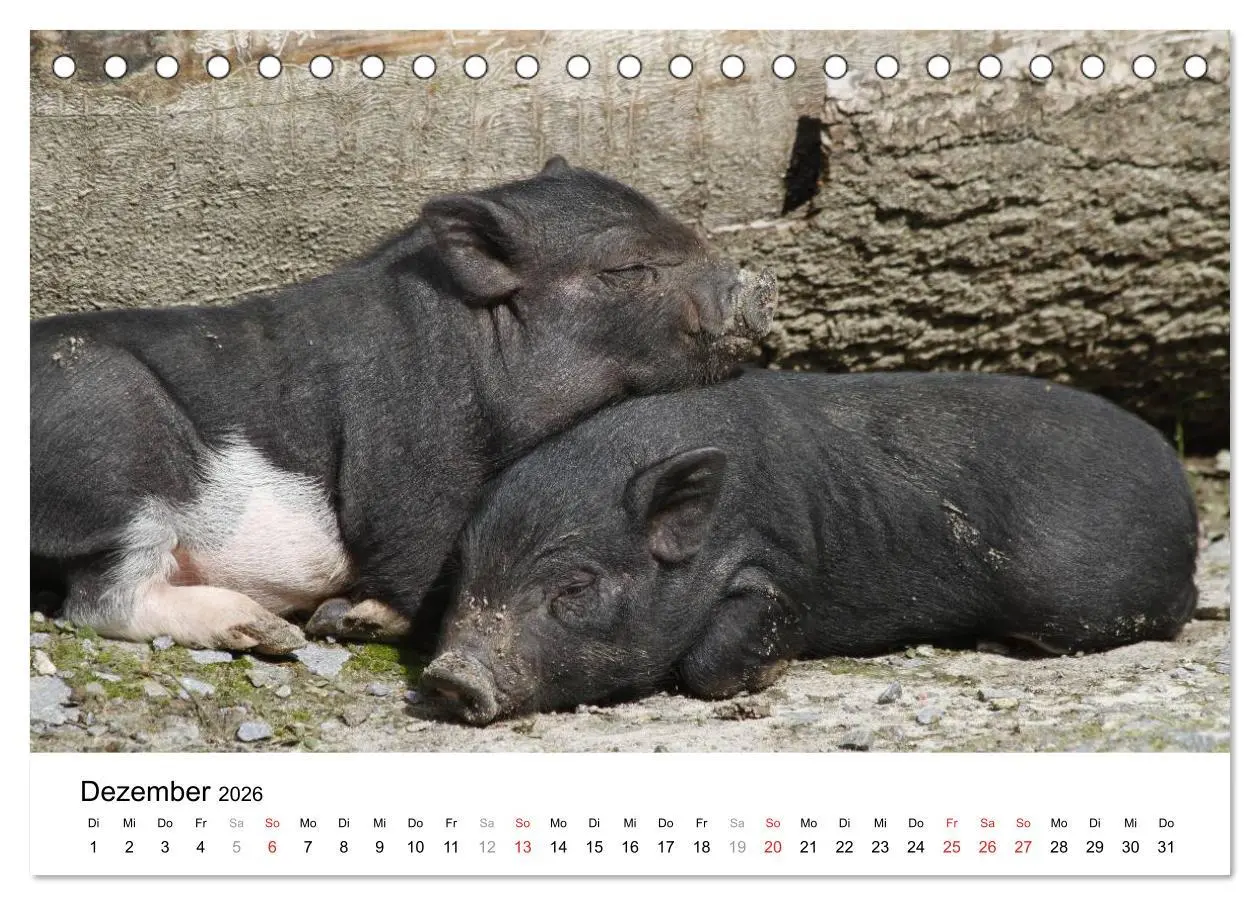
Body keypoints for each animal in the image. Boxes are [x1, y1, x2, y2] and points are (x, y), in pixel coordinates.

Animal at [30, 158, 777, 653]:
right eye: (625, 269)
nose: (758, 283)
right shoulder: (411, 455)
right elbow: (413, 541)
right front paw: (353, 620)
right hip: (113, 438)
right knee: (100, 601)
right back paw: (267, 631)